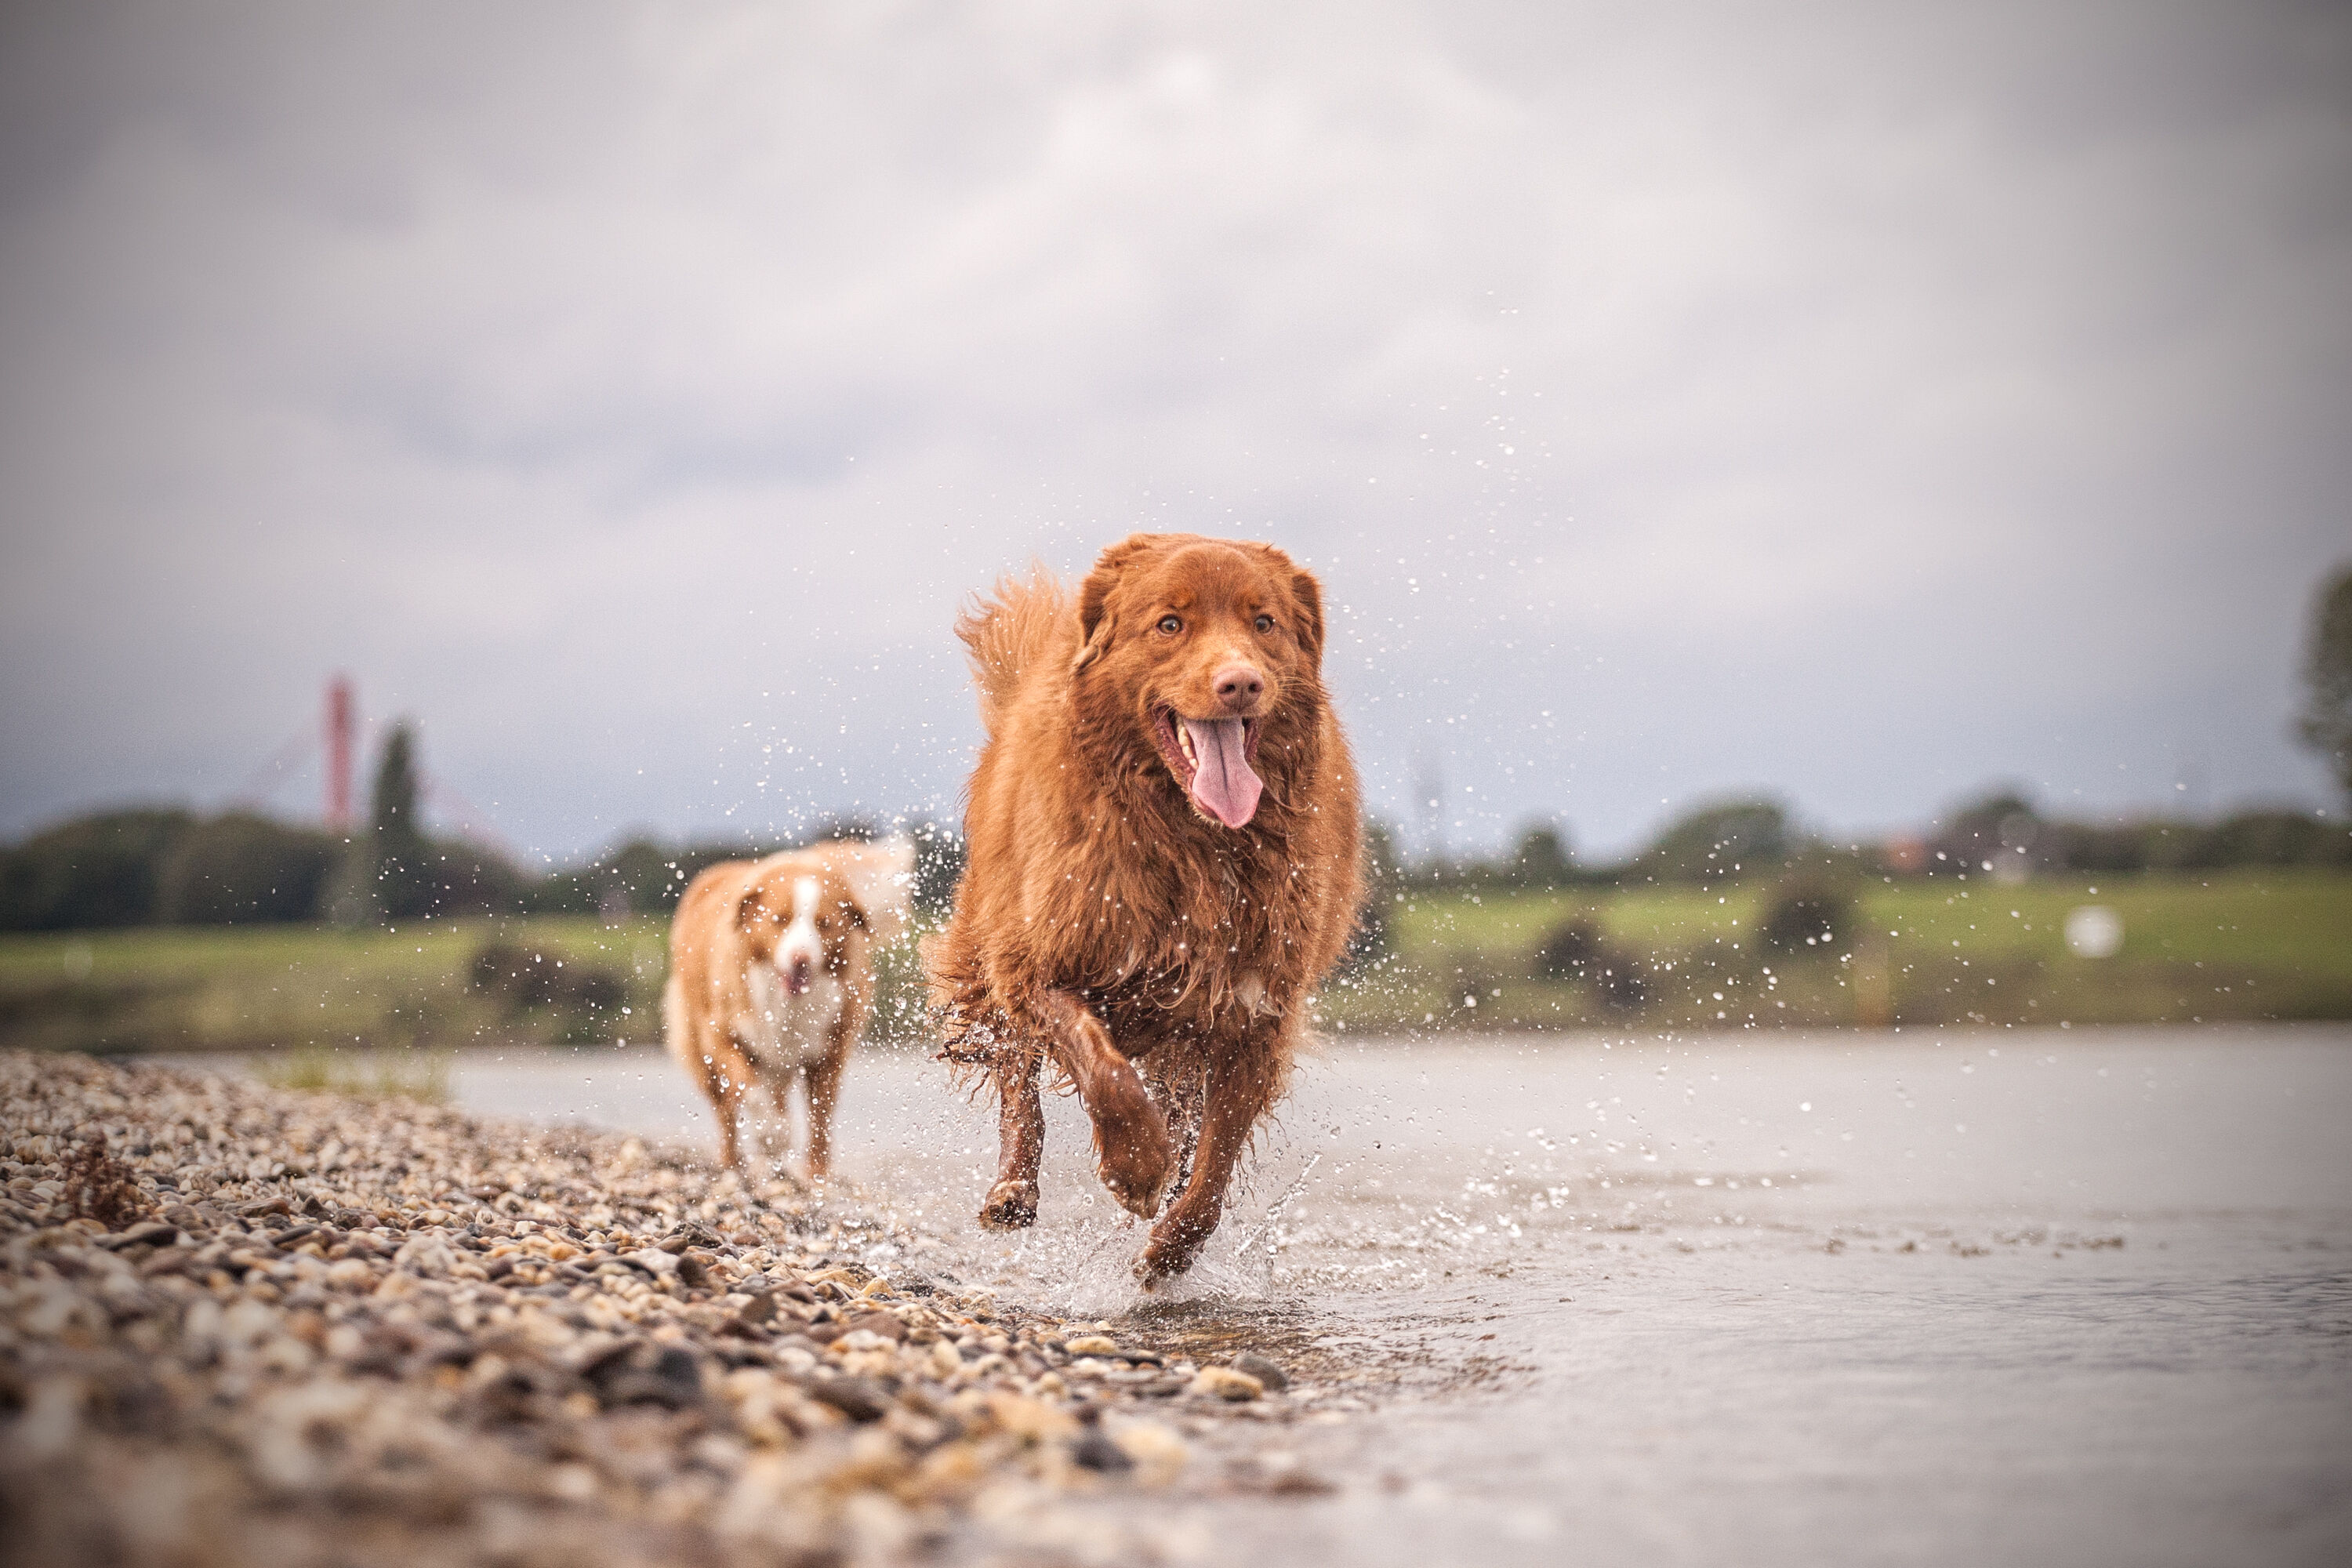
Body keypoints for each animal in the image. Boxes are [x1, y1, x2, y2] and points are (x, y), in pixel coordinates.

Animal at [673, 841, 917, 1185]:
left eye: (824, 924)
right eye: (780, 920)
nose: (801, 959)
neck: (787, 1006)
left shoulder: (828, 1051)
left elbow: (819, 1118)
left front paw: (816, 1174)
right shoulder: (721, 1035)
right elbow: (748, 1088)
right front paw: (771, 1134)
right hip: (700, 1048)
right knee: (726, 1112)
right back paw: (734, 1163)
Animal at [922, 535, 1364, 1288]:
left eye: (1264, 622)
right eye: (1169, 624)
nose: (1240, 683)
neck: (1188, 837)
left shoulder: (1254, 1010)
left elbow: (1214, 1158)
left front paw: (1172, 1247)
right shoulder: (1040, 960)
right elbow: (1103, 1071)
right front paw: (1134, 1168)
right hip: (991, 939)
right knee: (1016, 1071)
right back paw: (1013, 1189)